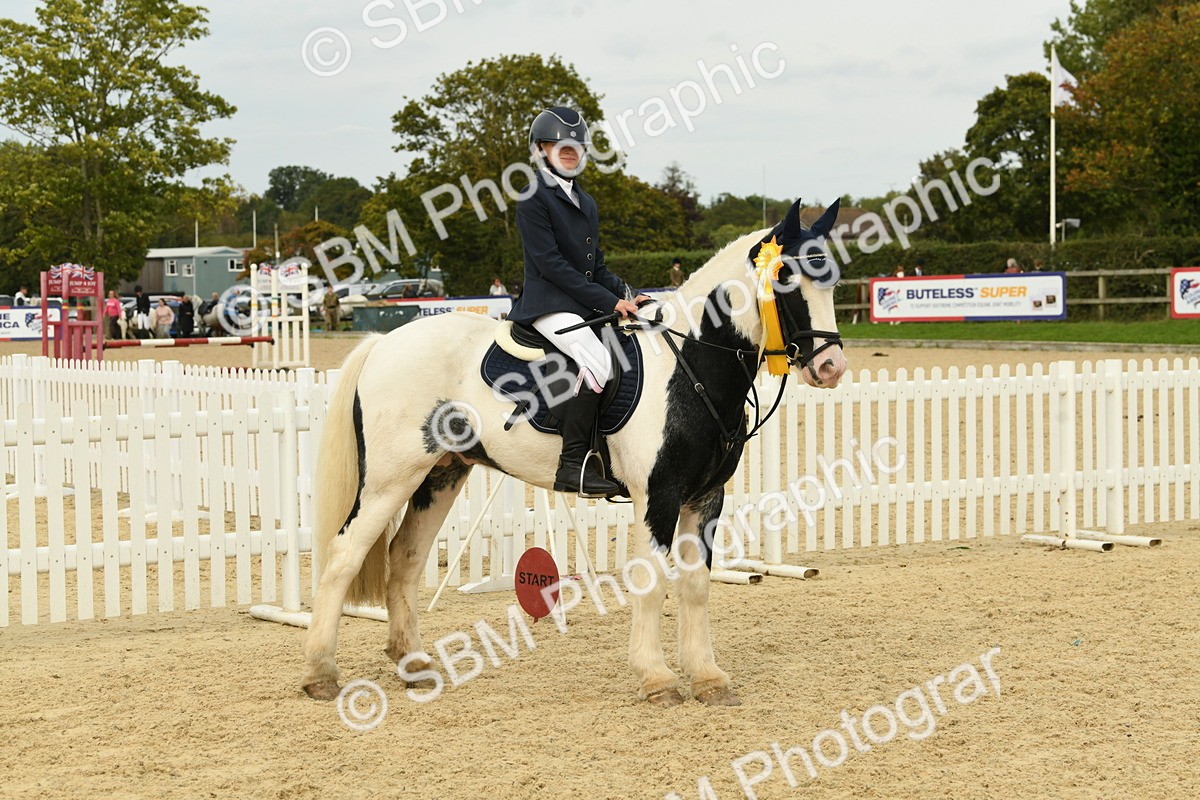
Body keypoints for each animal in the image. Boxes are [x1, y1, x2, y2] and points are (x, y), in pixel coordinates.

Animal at [301, 198, 849, 707]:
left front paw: (708, 678)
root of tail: (384, 342)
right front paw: (657, 679)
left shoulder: (705, 496)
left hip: (440, 475)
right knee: (344, 556)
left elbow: (695, 586)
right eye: (785, 277)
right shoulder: (658, 496)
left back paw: (414, 665)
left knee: (406, 560)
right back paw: (321, 674)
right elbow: (652, 581)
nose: (831, 367)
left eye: (834, 283)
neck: (689, 366)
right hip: (390, 478)